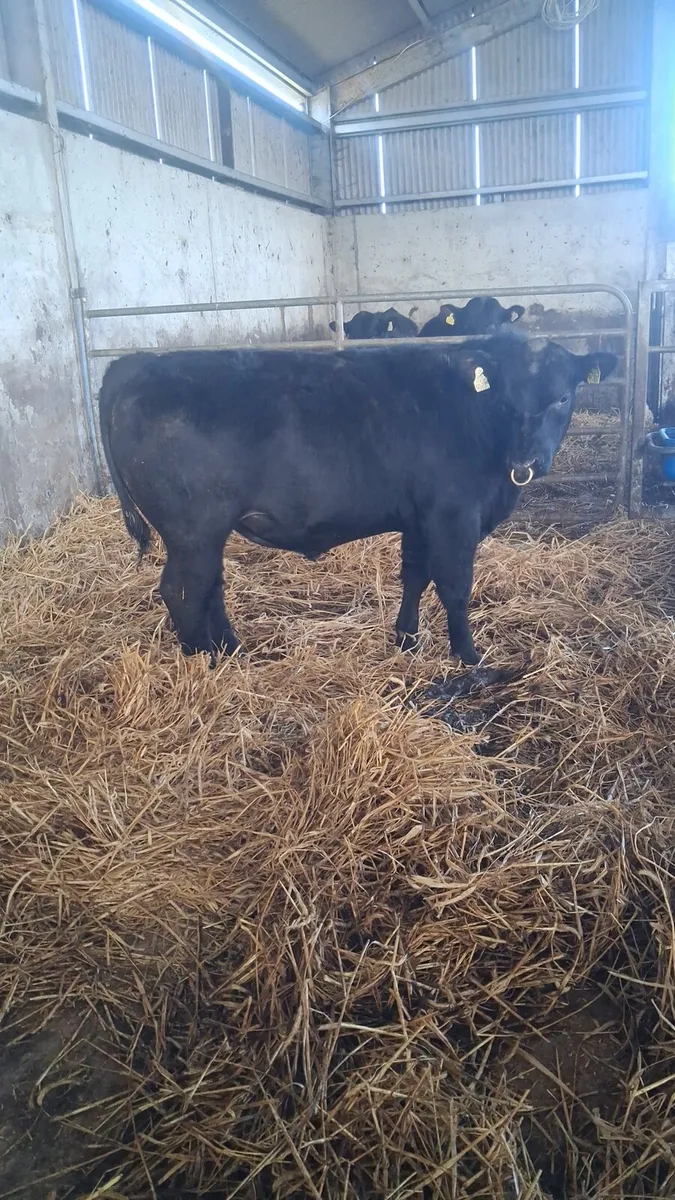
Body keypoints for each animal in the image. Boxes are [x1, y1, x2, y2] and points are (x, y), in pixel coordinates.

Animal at [99, 336, 616, 666]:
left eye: (563, 397)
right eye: (507, 398)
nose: (527, 459)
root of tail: (133, 364)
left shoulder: (419, 517)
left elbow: (415, 576)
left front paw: (406, 639)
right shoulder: (454, 516)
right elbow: (454, 586)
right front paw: (469, 656)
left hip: (205, 534)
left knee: (209, 588)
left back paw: (232, 651)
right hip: (192, 529)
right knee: (181, 591)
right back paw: (202, 661)